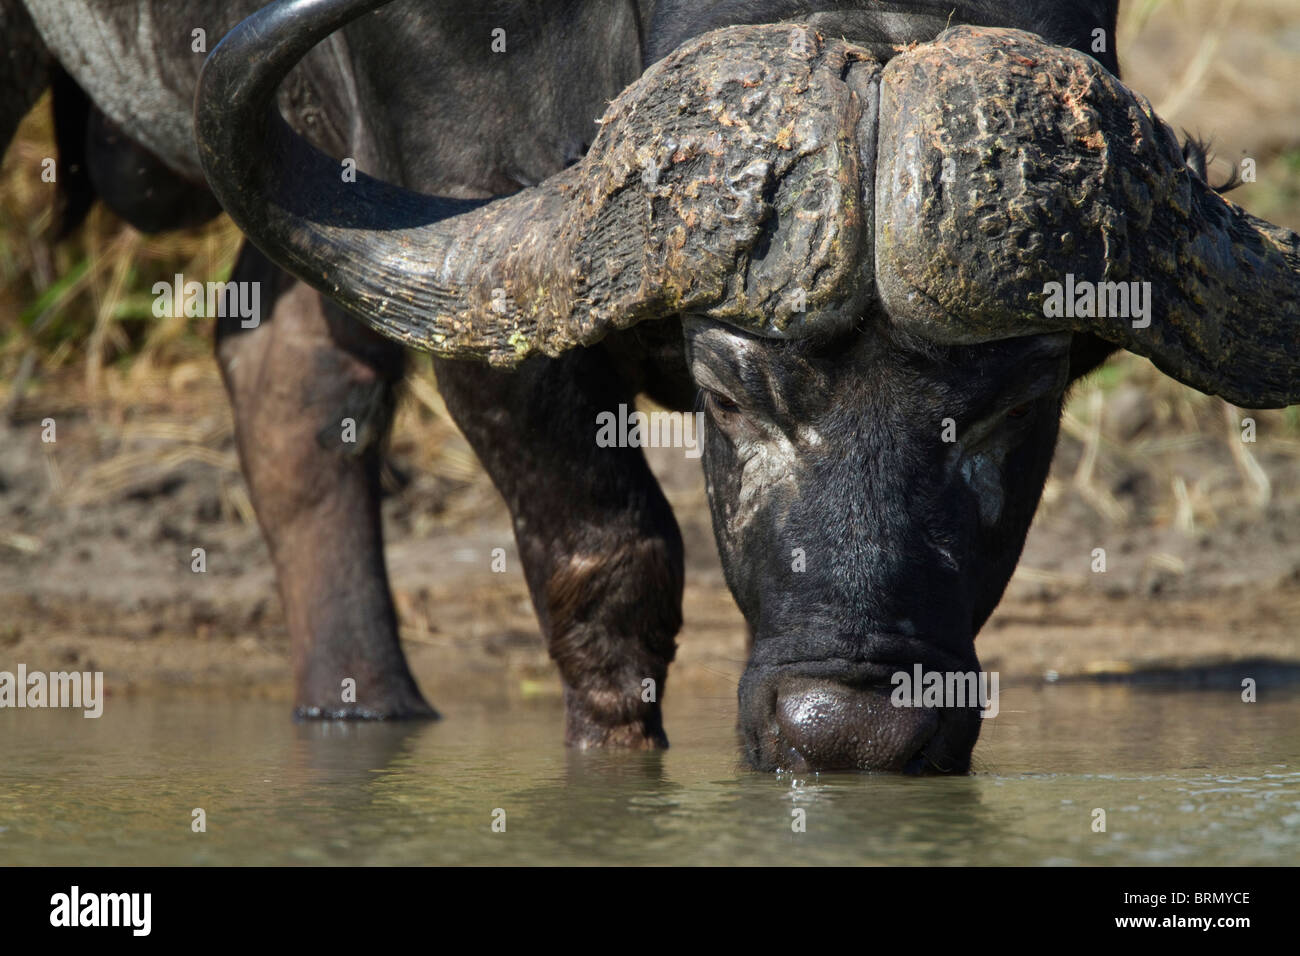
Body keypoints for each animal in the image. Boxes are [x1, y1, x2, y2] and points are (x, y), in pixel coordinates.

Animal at [7, 0, 1298, 772]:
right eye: (732, 398)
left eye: (1012, 409)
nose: (853, 731)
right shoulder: (462, 222)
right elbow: (608, 563)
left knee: (291, 381)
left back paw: (364, 706)